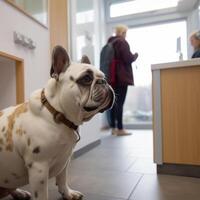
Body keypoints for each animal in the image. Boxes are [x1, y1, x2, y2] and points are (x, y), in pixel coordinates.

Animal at [0, 46, 114, 199]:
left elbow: (62, 178)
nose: (104, 82)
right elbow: (42, 195)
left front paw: (67, 193)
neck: (56, 113)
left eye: (104, 77)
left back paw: (20, 192)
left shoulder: (65, 159)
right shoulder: (39, 168)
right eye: (86, 78)